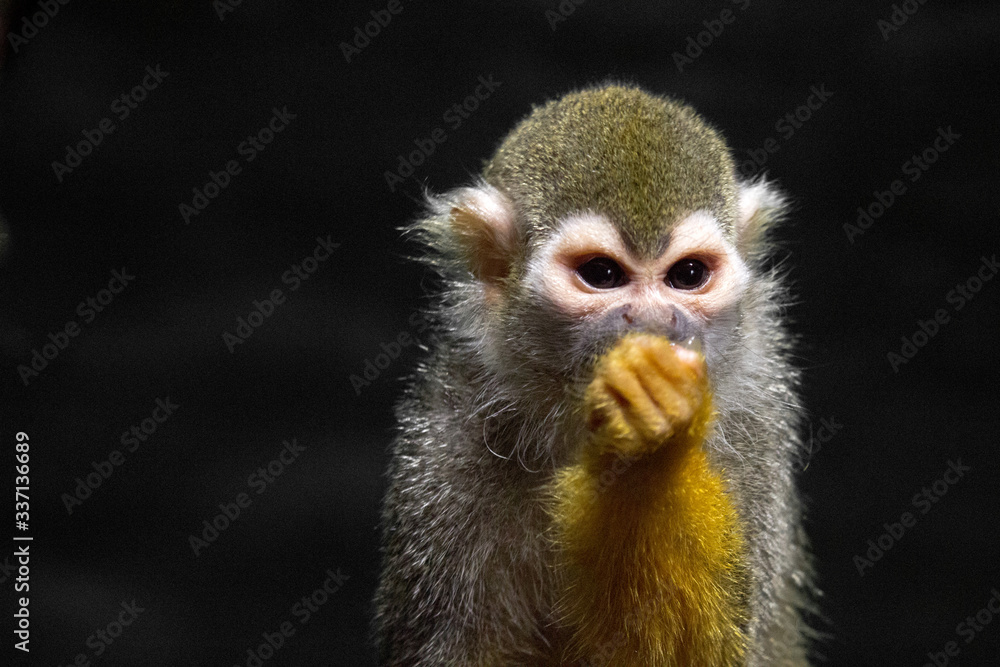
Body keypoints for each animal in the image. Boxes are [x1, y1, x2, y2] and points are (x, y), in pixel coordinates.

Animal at [374, 83, 817, 666]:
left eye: (687, 275)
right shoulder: (444, 438)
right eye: (601, 274)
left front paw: (652, 457)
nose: (655, 323)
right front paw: (648, 444)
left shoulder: (759, 423)